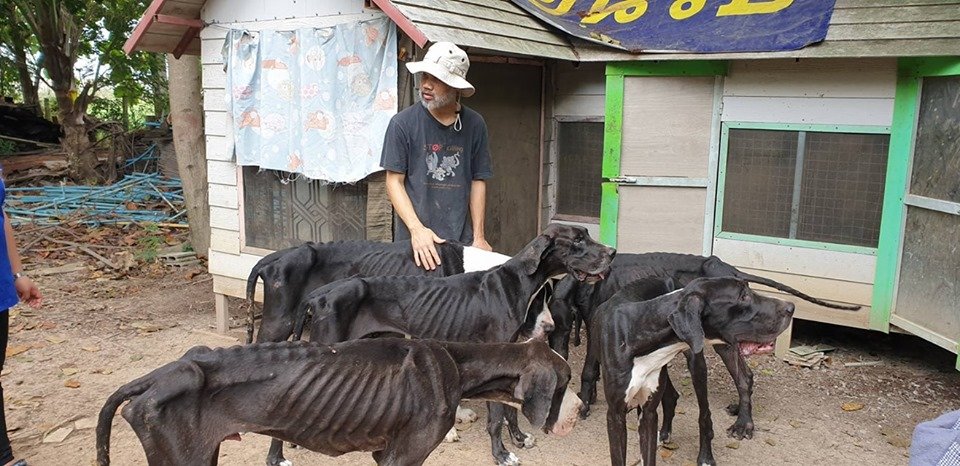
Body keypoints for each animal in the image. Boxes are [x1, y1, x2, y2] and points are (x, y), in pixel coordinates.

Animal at [97, 338, 580, 466]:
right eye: (564, 382)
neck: (458, 364)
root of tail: (159, 376)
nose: (578, 412)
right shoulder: (403, 458)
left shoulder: (384, 453)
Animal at [292, 222, 616, 466]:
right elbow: (496, 417)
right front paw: (501, 455)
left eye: (587, 234)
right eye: (577, 240)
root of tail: (319, 294)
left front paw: (519, 438)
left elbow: (510, 409)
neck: (514, 283)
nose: (612, 253)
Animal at [592, 276, 796, 466]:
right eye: (743, 296)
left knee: (705, 414)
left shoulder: (648, 413)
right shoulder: (616, 415)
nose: (791, 307)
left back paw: (706, 455)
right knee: (671, 396)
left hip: (696, 363)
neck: (638, 332)